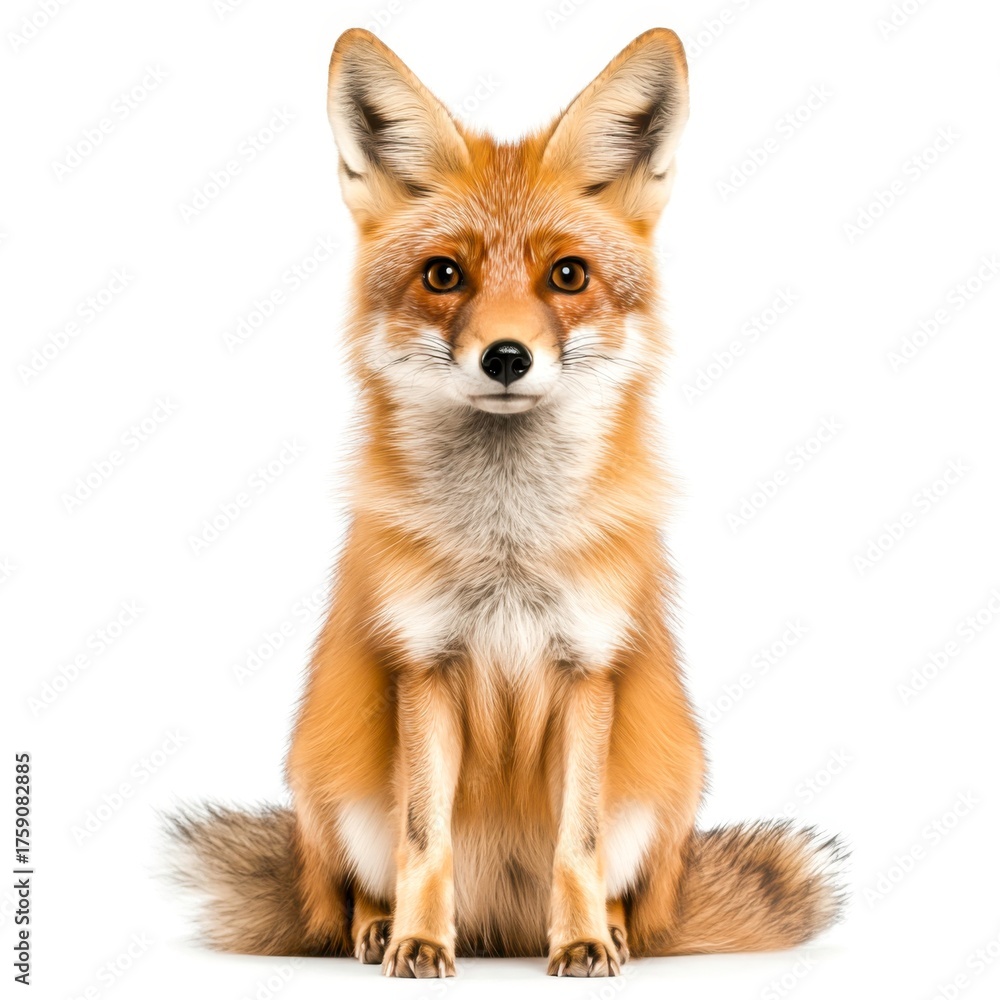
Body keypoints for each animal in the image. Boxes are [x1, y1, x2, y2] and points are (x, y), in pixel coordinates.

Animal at [166, 27, 845, 978]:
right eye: (444, 274)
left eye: (568, 275)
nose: (507, 358)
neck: (507, 548)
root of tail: (501, 929)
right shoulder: (423, 667)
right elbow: (426, 841)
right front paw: (416, 939)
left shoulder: (589, 670)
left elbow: (575, 846)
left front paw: (585, 938)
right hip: (329, 784)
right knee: (354, 891)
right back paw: (378, 927)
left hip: (662, 790)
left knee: (627, 893)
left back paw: (615, 930)